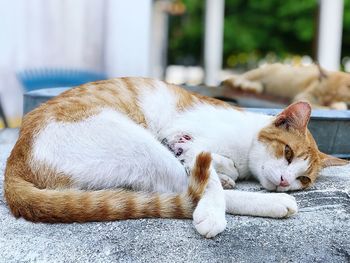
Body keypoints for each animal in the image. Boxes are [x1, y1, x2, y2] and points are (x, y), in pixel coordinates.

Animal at [3, 77, 348, 239]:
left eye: (304, 178)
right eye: (287, 153)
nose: (286, 182)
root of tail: (15, 157)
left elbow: (223, 168)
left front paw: (228, 170)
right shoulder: (181, 138)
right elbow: (209, 177)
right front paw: (216, 197)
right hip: (140, 144)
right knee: (186, 190)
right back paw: (263, 204)